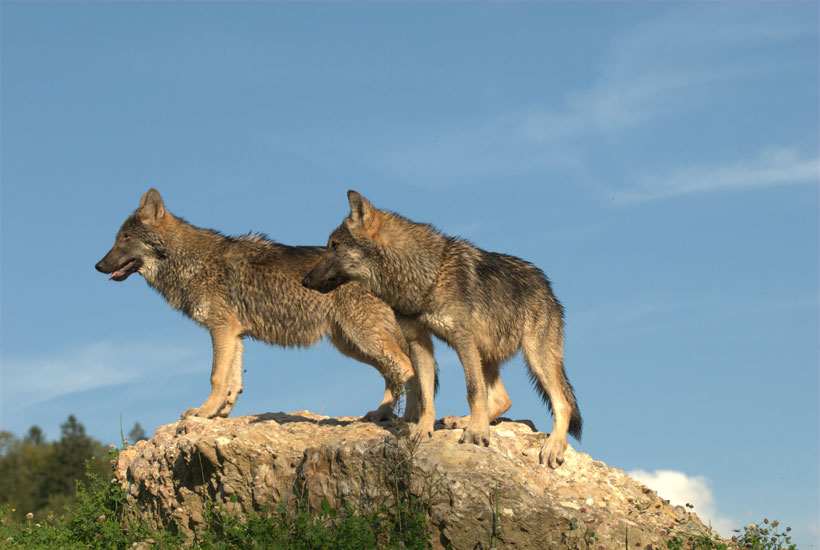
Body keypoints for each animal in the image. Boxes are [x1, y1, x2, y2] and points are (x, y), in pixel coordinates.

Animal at [94, 190, 422, 422]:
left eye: (125, 239)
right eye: (116, 239)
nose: (97, 266)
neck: (193, 263)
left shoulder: (221, 329)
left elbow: (215, 376)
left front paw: (202, 412)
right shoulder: (235, 335)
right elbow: (232, 382)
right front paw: (219, 413)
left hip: (363, 339)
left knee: (405, 369)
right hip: (352, 345)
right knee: (391, 373)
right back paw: (381, 415)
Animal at [302, 191, 584, 470]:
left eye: (334, 246)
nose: (304, 281)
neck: (425, 277)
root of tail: (547, 286)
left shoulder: (463, 340)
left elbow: (473, 391)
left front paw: (476, 433)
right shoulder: (419, 342)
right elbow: (426, 395)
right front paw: (423, 430)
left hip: (535, 358)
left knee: (562, 405)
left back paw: (552, 446)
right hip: (488, 354)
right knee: (503, 399)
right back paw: (462, 420)